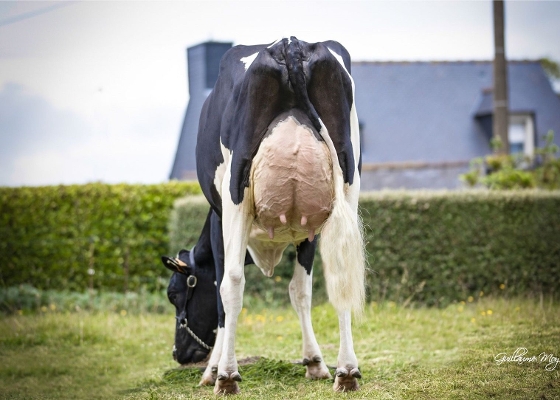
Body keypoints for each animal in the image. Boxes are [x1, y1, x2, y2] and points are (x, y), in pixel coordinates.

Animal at [171, 37, 366, 394]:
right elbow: (300, 291)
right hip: (347, 185)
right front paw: (315, 362)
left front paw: (212, 370)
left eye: (174, 294)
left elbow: (220, 293)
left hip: (235, 191)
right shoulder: (308, 229)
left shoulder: (219, 222)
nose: (179, 353)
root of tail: (291, 43)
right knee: (343, 274)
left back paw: (227, 376)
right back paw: (346, 371)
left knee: (233, 282)